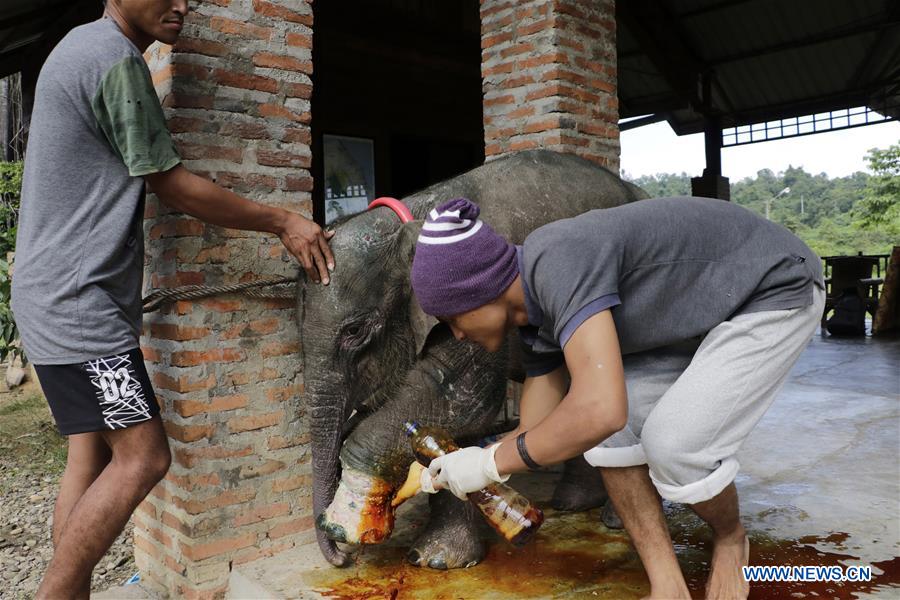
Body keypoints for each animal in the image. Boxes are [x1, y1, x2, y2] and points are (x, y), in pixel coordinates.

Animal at [298, 149, 688, 570]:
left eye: (354, 331)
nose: (343, 559)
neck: (412, 220)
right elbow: (453, 418)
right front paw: (436, 560)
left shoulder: (476, 297)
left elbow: (462, 397)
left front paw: (353, 515)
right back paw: (573, 503)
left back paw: (612, 520)